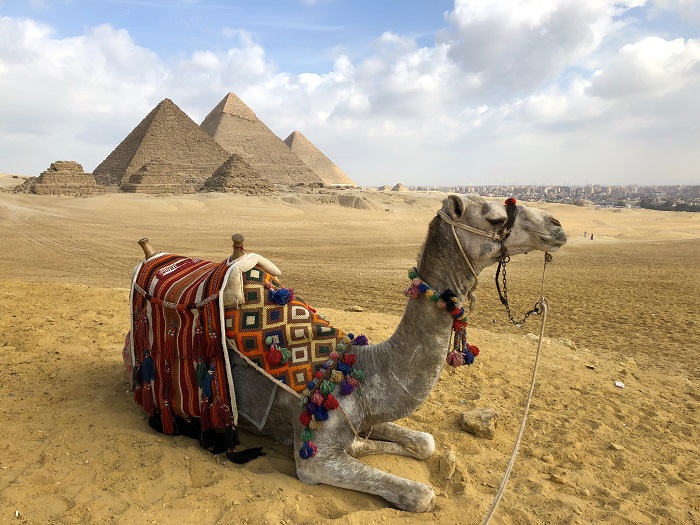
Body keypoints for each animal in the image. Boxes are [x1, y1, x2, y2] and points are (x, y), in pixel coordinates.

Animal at [126, 194, 566, 513]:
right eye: (493, 218)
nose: (558, 226)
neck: (363, 371)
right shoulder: (315, 459)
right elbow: (421, 495)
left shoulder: (365, 414)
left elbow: (425, 442)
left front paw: (384, 445)